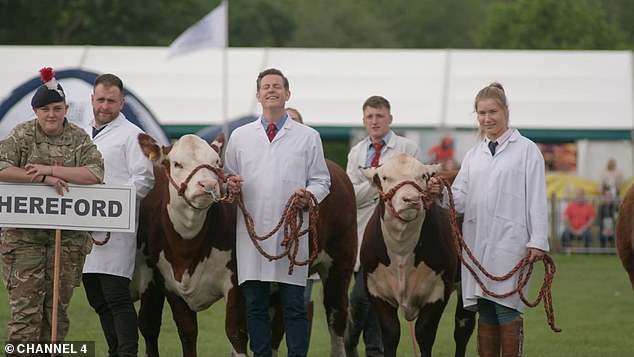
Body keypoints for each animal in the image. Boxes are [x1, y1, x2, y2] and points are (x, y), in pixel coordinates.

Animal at [358, 153, 472, 356]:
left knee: (463, 327)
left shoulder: (439, 290)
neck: (402, 252)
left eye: (423, 176)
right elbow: (390, 333)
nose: (410, 199)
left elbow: (424, 334)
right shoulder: (375, 290)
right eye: (385, 177)